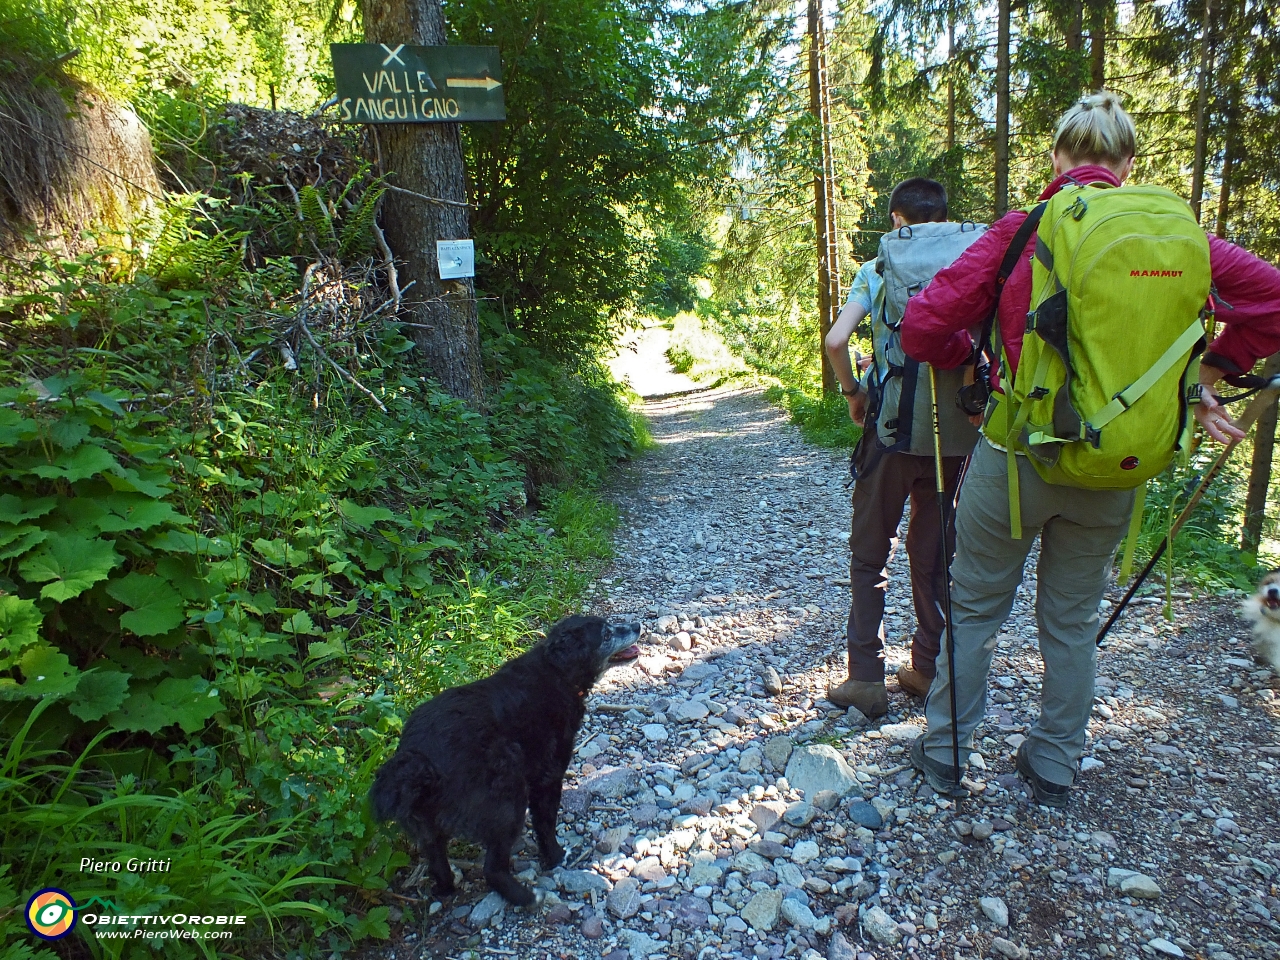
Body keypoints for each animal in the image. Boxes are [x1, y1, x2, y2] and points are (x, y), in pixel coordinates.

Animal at [368, 619, 637, 906]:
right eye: (606, 634)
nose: (637, 625)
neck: (556, 671)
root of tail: (420, 760)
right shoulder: (549, 777)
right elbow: (545, 824)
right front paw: (555, 856)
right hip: (508, 798)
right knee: (493, 869)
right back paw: (528, 897)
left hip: (429, 829)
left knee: (438, 863)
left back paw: (445, 889)